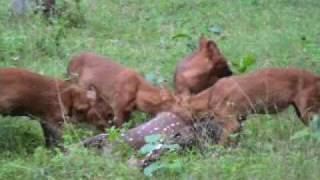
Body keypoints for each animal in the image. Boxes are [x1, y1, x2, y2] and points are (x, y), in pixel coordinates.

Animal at [184, 68, 320, 144]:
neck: (210, 95)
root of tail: (316, 77)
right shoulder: (240, 120)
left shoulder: (232, 123)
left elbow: (221, 143)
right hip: (302, 112)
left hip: (307, 113)